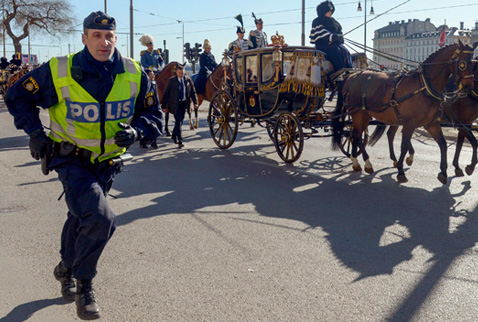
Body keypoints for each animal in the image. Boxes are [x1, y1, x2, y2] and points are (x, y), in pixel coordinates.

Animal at [334, 41, 476, 184]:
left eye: (473, 63)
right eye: (463, 63)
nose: (468, 87)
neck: (424, 86)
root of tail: (351, 76)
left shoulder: (431, 124)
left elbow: (443, 144)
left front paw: (444, 172)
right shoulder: (411, 123)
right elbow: (404, 145)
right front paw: (401, 172)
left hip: (368, 115)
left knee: (359, 134)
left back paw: (356, 161)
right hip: (358, 114)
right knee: (357, 136)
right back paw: (366, 163)